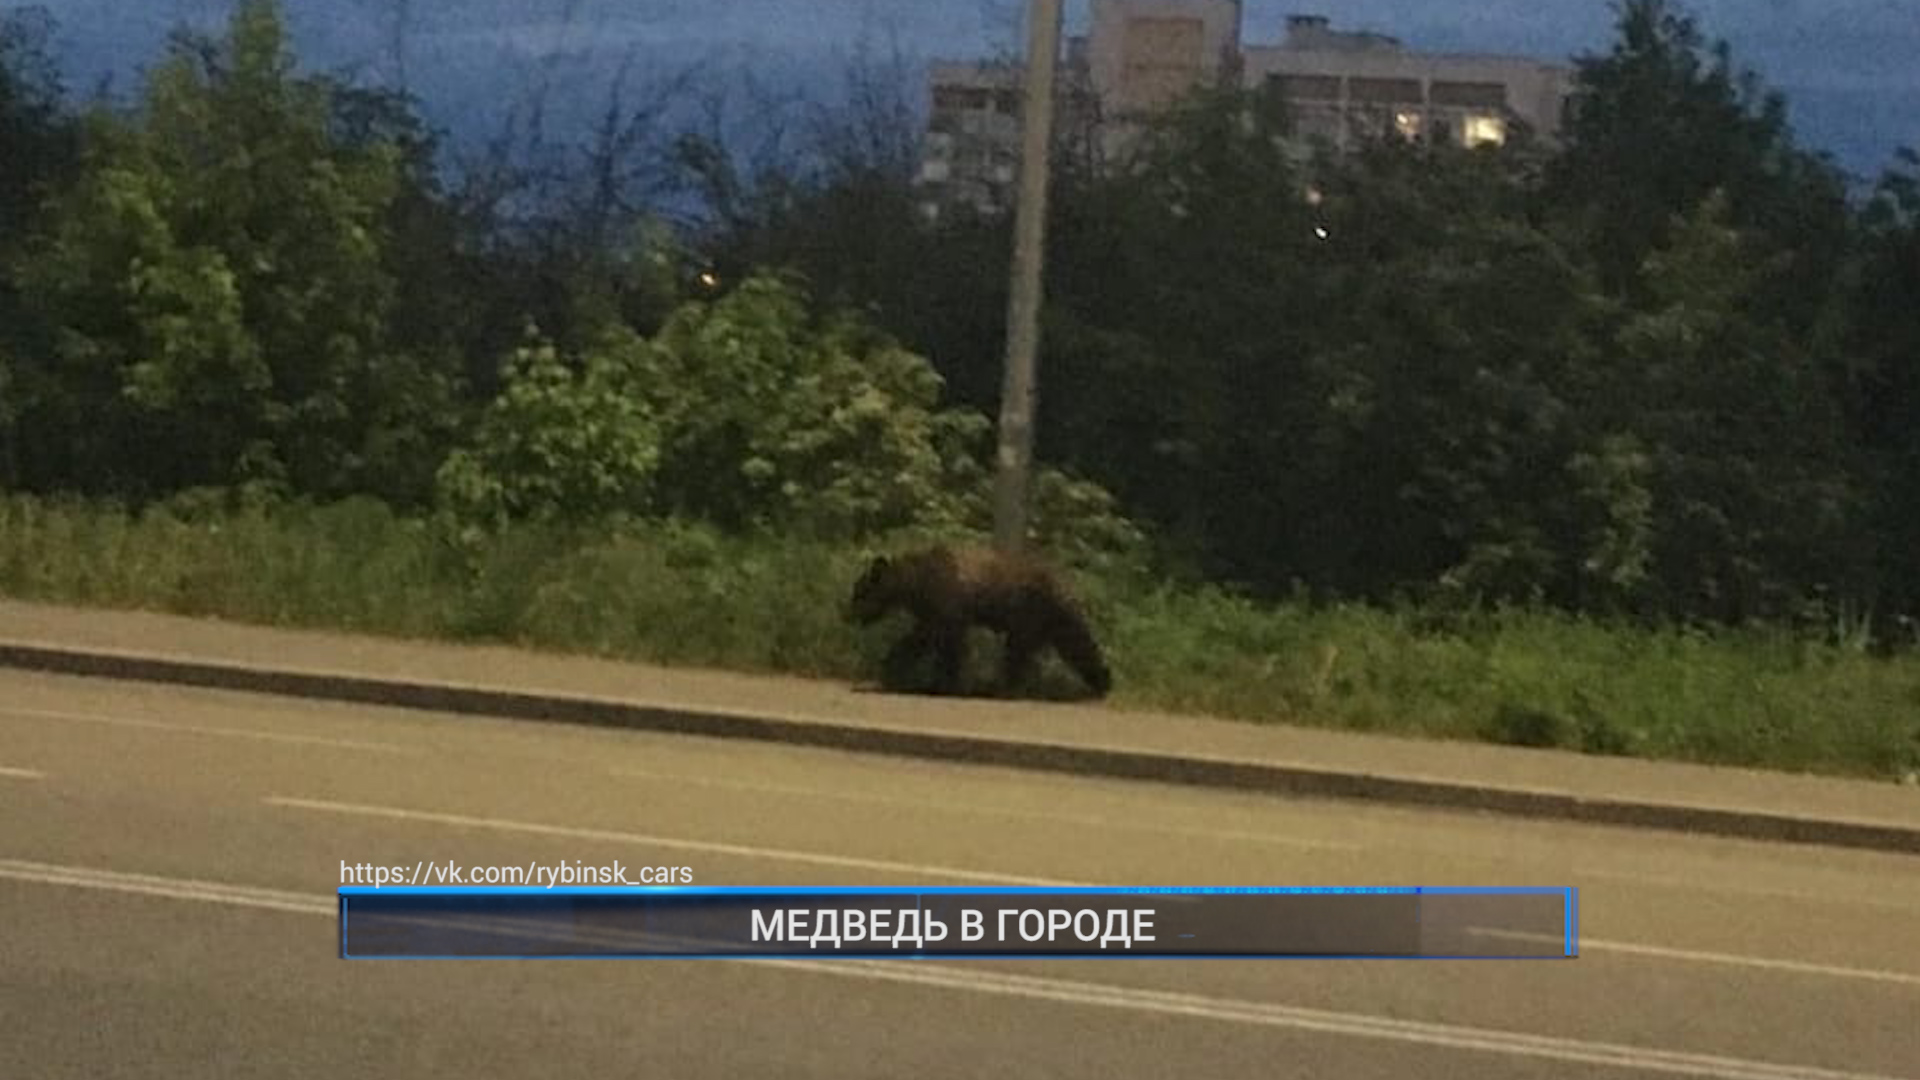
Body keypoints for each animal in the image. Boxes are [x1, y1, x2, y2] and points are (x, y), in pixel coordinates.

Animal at [844, 538, 1113, 699]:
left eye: (859, 593)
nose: (851, 615)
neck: (914, 584)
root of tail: (1069, 584)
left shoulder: (947, 601)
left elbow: (947, 640)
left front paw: (945, 683)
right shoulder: (929, 609)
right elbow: (920, 638)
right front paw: (895, 669)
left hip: (1034, 610)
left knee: (1023, 650)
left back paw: (1001, 687)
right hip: (1049, 620)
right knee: (1073, 647)